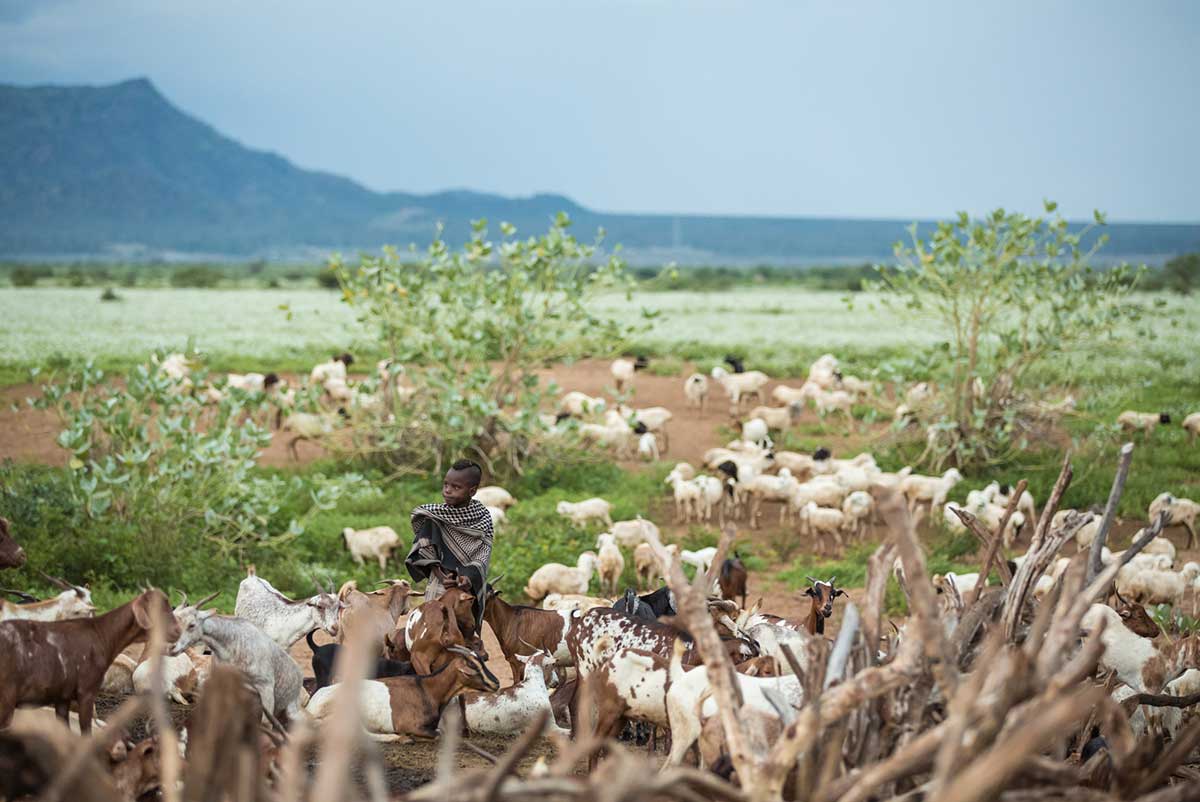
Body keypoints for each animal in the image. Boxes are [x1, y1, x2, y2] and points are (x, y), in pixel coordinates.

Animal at [309, 643, 501, 739]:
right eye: (473, 667)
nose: (496, 683)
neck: (427, 689)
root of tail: (313, 704)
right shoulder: (410, 724)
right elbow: (439, 734)